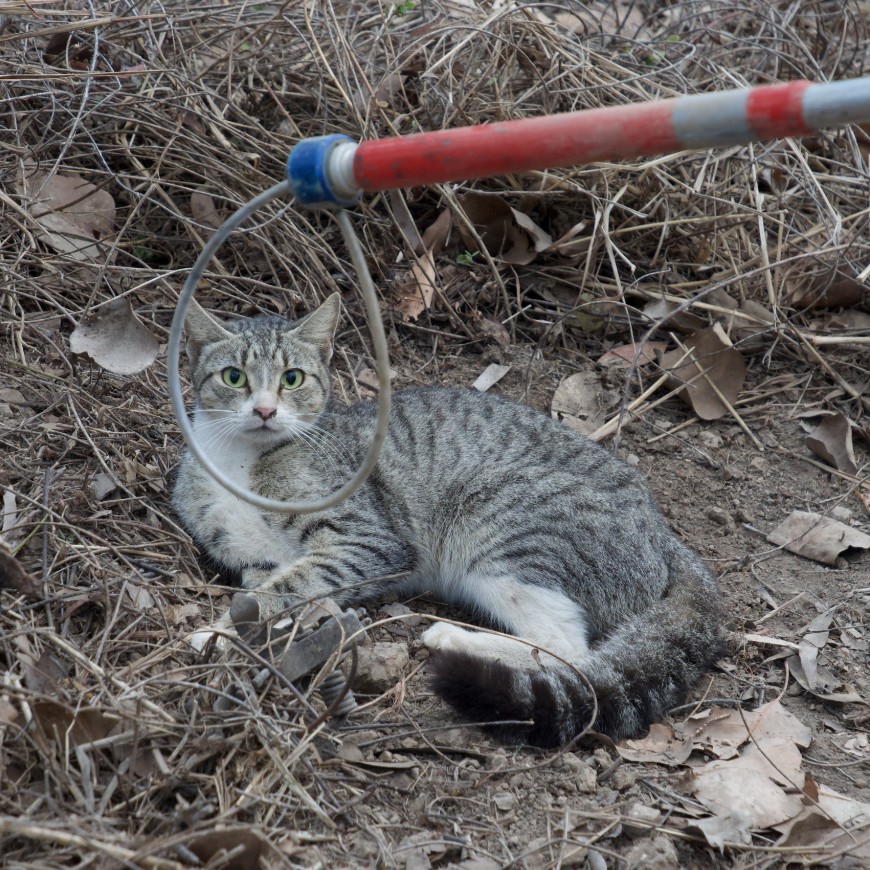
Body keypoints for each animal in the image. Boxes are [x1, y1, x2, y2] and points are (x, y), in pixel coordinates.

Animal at [174, 294, 724, 748]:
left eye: (292, 378)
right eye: (233, 377)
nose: (265, 411)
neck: (241, 461)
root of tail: (665, 535)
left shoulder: (369, 541)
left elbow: (291, 585)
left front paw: (214, 635)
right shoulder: (256, 560)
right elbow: (272, 589)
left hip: (502, 521)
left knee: (566, 648)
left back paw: (451, 639)